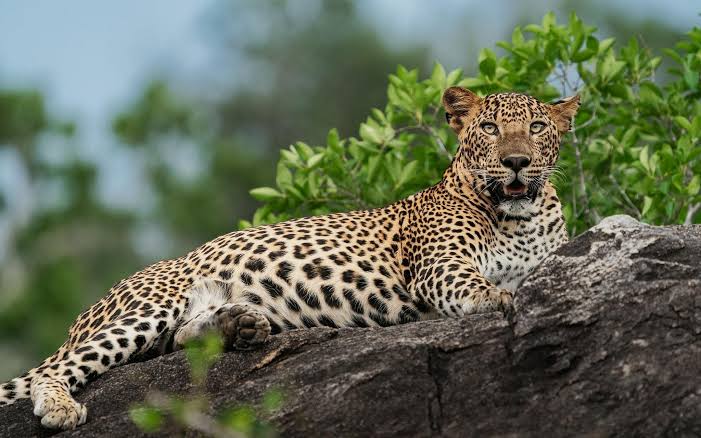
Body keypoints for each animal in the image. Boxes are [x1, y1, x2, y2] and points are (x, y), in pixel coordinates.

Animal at [0, 86, 579, 430]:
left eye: (537, 128)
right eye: (489, 129)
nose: (517, 162)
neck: (519, 217)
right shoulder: (438, 269)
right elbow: (477, 285)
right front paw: (500, 299)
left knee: (182, 339)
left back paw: (240, 325)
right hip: (148, 305)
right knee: (62, 368)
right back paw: (61, 406)